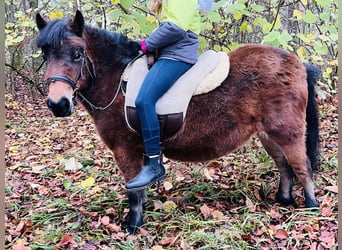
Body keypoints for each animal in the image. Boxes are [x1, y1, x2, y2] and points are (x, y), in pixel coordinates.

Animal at [35, 10, 320, 233]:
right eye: (45, 56)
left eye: (77, 53)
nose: (58, 104)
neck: (116, 80)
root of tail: (298, 63)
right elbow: (140, 189)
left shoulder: (124, 149)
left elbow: (134, 190)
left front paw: (132, 225)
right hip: (267, 134)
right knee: (284, 165)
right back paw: (283, 200)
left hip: (288, 132)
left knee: (301, 166)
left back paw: (312, 208)